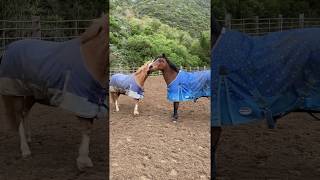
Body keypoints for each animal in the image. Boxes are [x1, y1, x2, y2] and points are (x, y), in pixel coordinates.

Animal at [0, 14, 109, 171]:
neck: (91, 60)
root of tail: (9, 47)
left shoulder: (92, 101)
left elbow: (89, 128)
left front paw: (84, 159)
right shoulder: (81, 101)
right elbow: (86, 127)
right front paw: (82, 160)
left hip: (32, 94)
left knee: (25, 113)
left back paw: (29, 138)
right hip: (16, 93)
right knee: (19, 116)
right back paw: (25, 150)